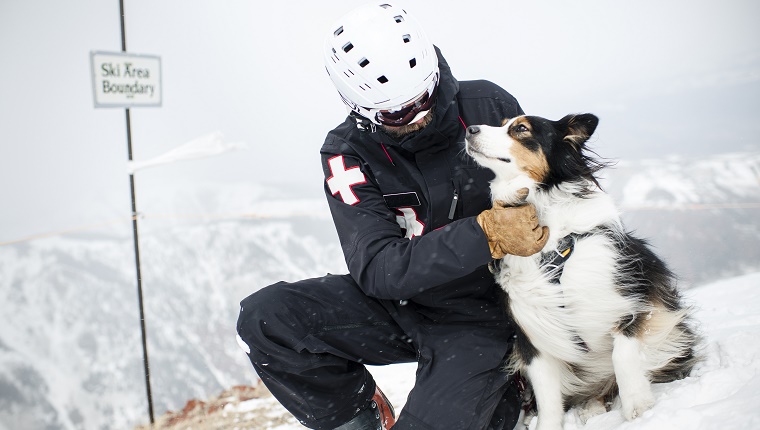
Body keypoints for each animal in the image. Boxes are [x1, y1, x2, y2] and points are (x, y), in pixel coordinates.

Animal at [466, 114, 704, 430]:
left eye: (520, 129)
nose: (469, 130)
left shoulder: (633, 296)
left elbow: (622, 353)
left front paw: (637, 405)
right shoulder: (530, 334)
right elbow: (547, 396)